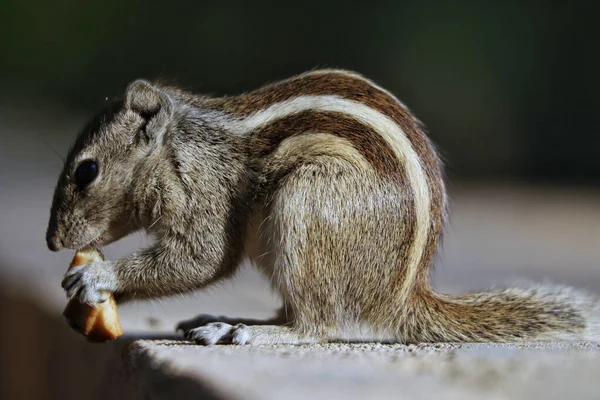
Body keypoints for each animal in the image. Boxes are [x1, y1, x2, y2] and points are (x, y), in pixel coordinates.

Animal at [45, 69, 596, 344]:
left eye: (87, 171)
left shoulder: (203, 189)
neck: (179, 144)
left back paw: (245, 333)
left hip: (305, 205)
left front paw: (99, 276)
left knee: (317, 328)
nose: (53, 241)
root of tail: (397, 297)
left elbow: (202, 258)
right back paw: (232, 320)